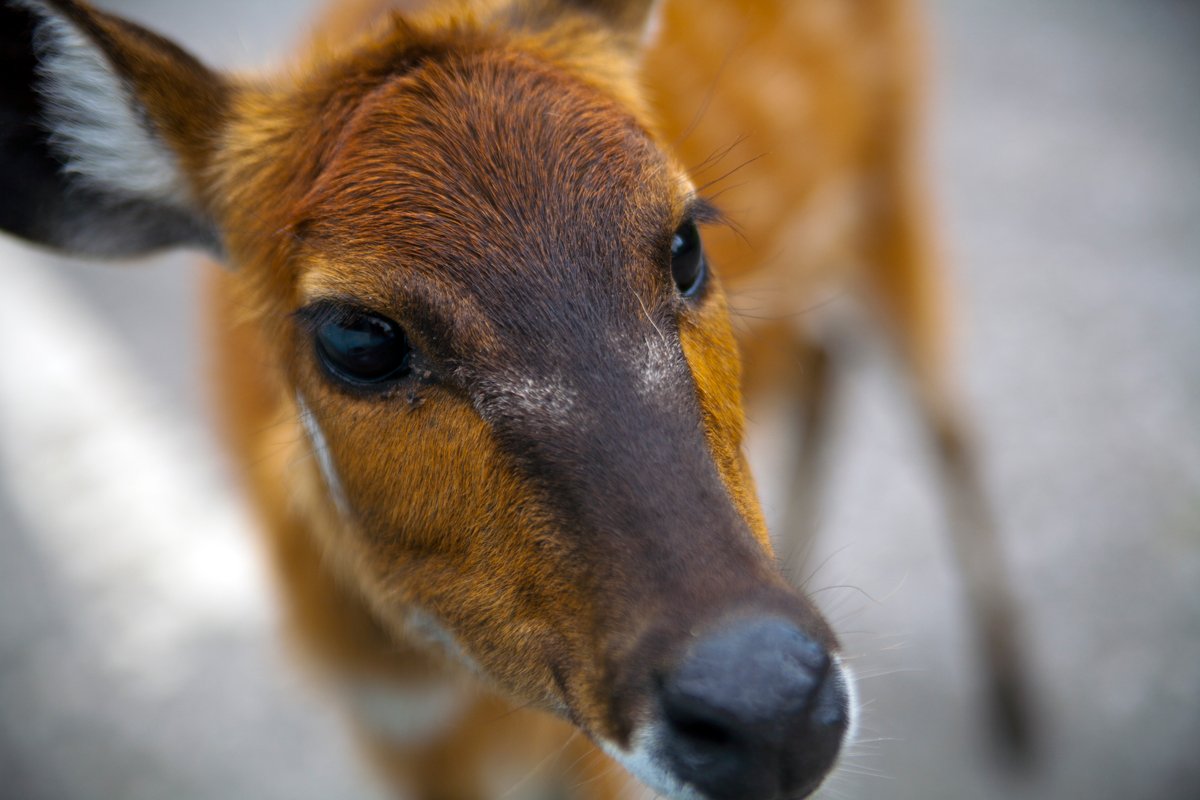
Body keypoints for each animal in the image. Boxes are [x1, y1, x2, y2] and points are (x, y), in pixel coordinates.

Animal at [2, 1, 1032, 800]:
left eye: (685, 242)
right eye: (358, 337)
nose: (771, 703)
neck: (445, 691)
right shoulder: (395, 733)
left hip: (895, 176)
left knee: (947, 419)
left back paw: (1018, 713)